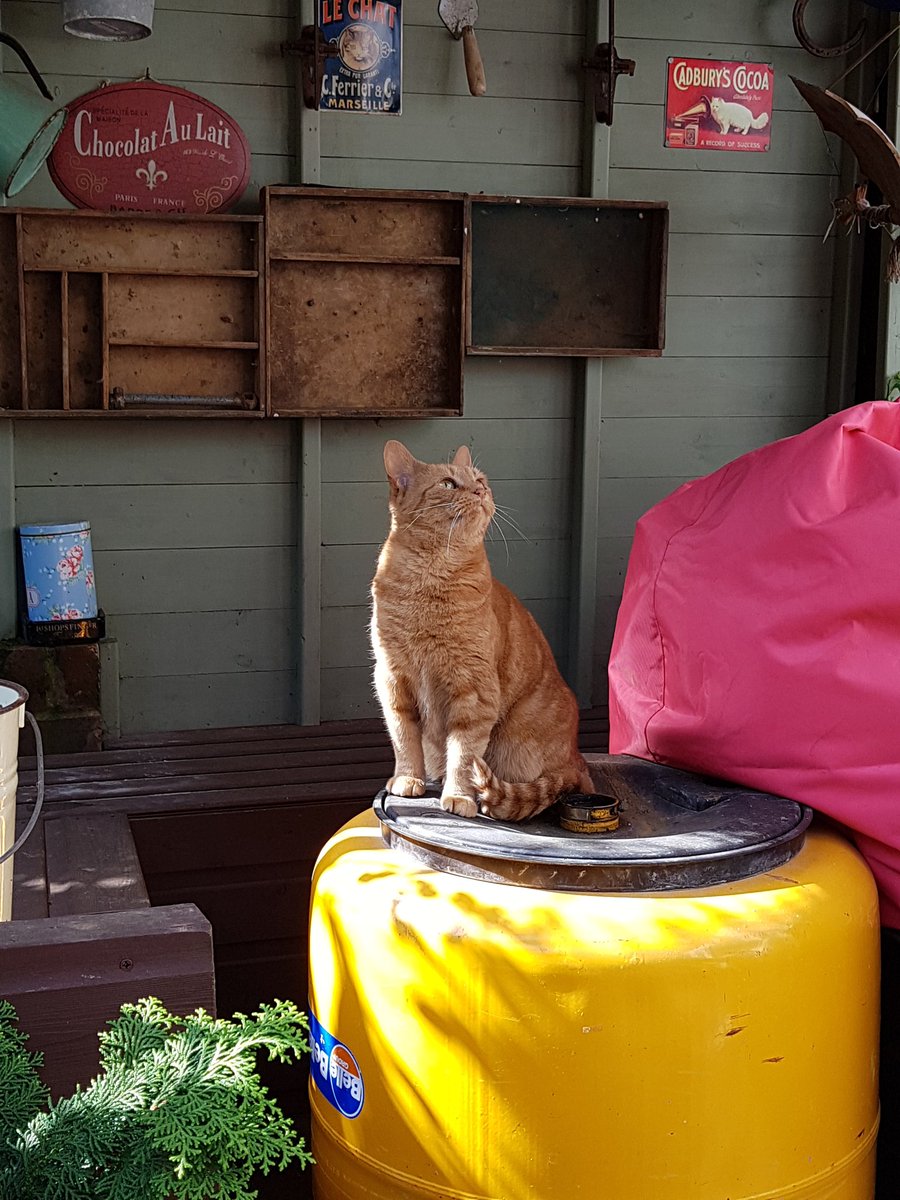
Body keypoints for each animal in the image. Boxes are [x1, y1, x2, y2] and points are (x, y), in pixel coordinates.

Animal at [369, 441, 595, 825]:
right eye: (447, 483)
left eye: (479, 480)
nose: (480, 492)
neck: (428, 580)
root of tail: (576, 758)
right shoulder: (393, 682)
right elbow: (404, 739)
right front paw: (408, 778)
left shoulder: (474, 691)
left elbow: (464, 753)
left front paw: (459, 796)